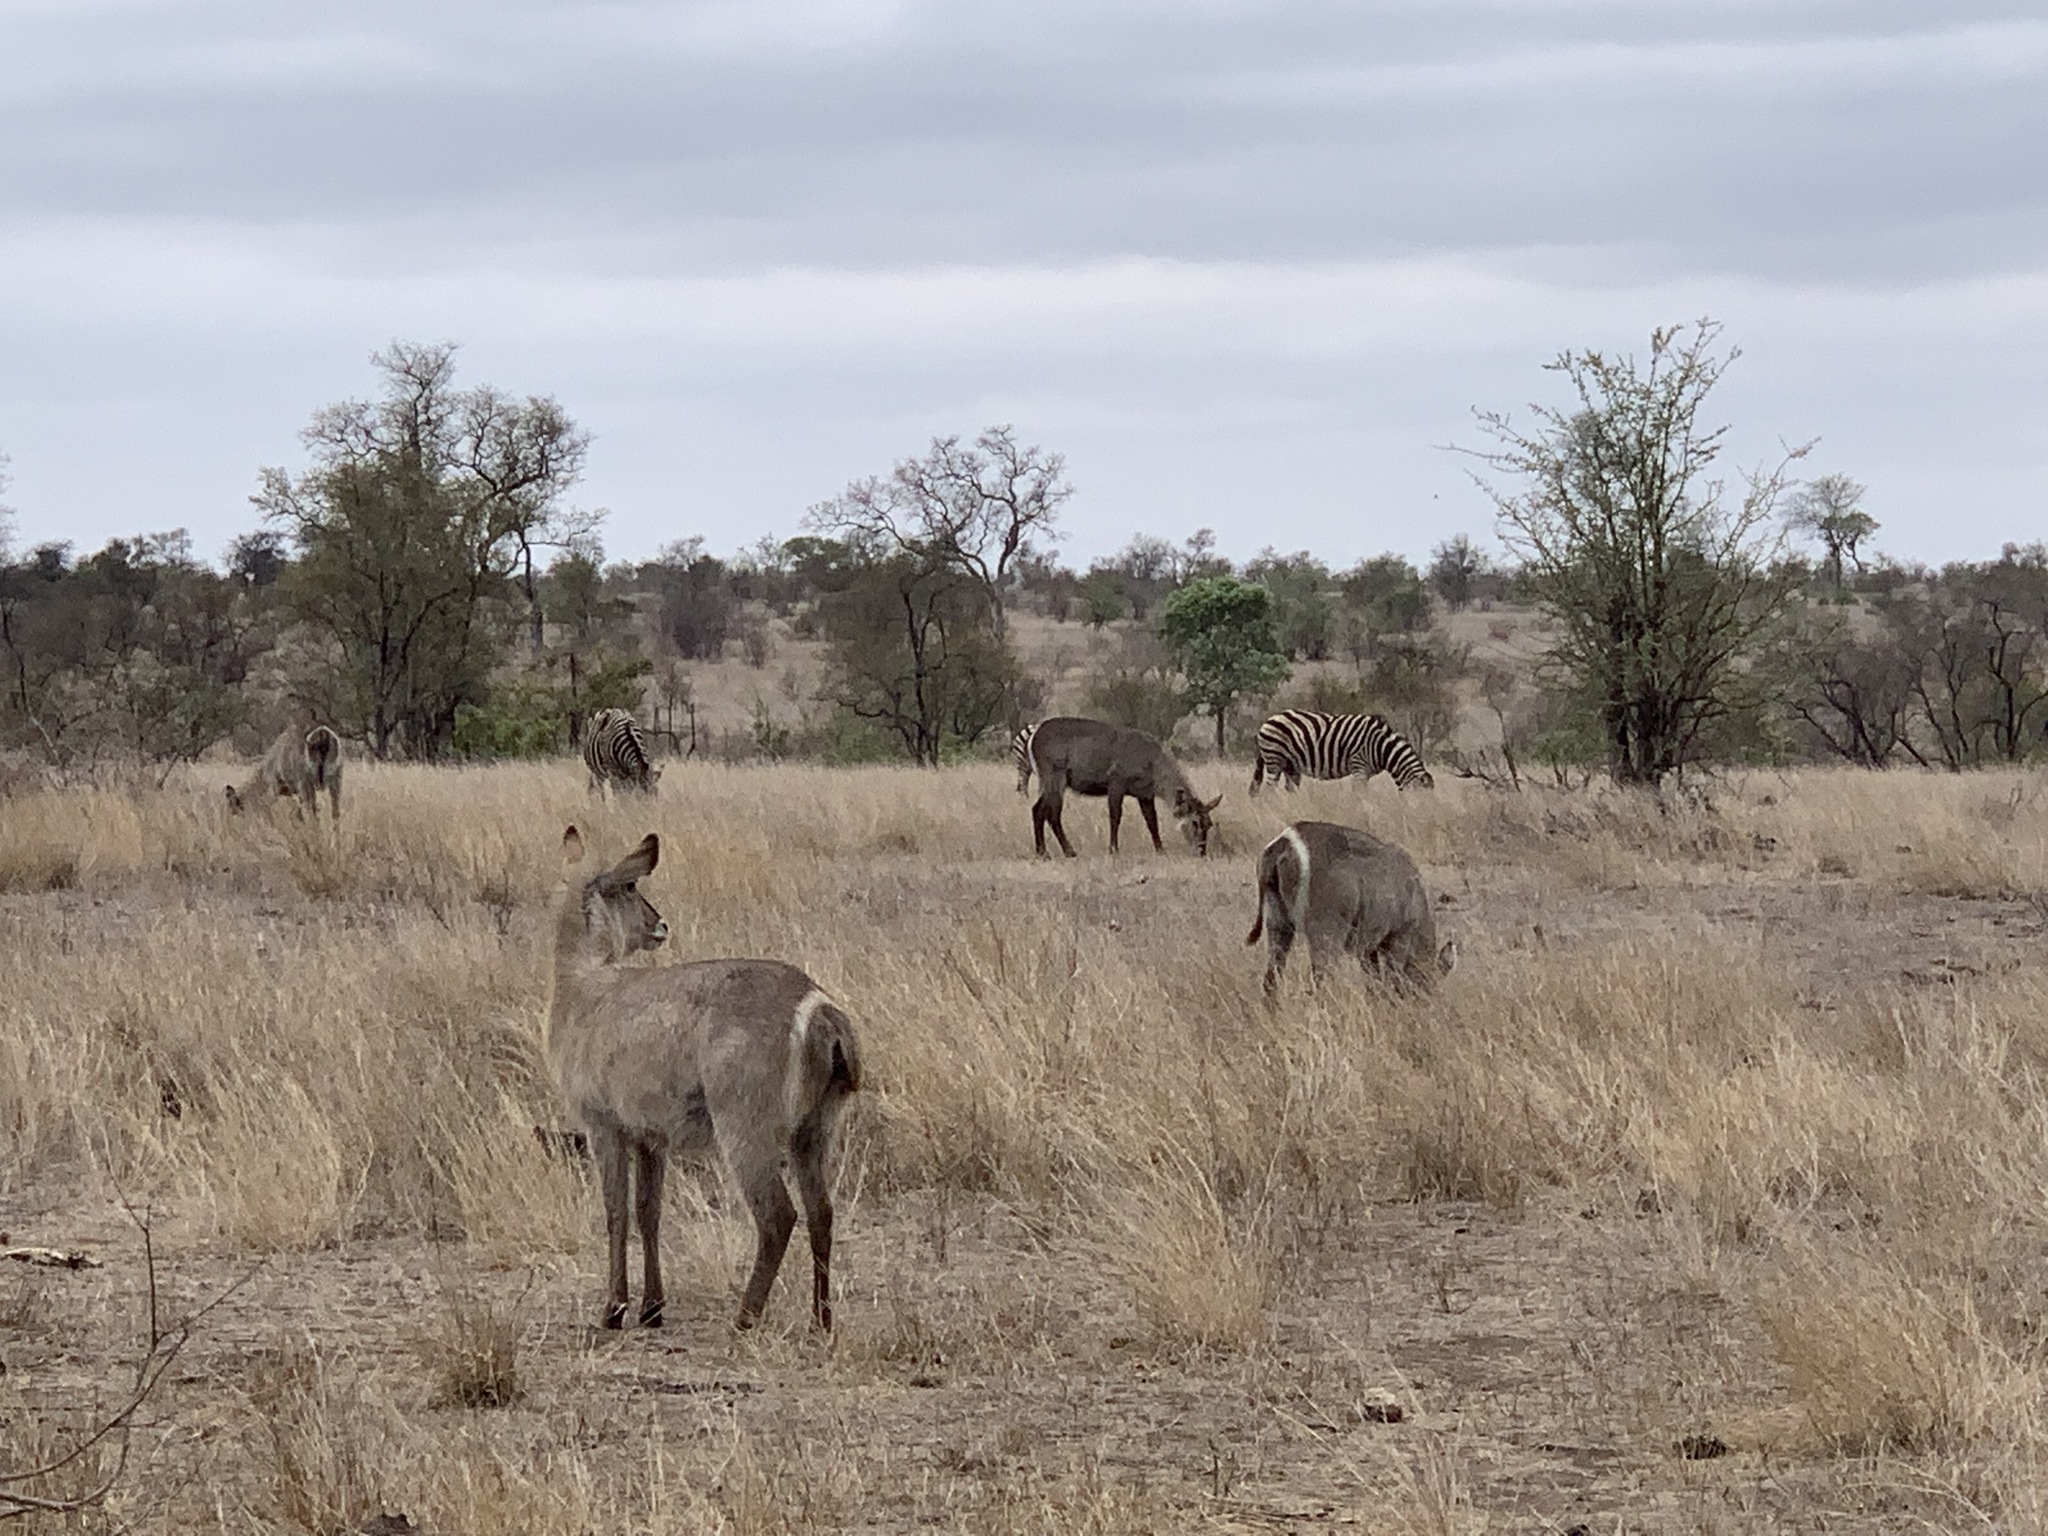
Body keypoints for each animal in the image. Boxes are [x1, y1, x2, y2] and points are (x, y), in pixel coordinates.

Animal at [1236, 712, 1433, 794]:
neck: (1382, 748)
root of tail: (1267, 721)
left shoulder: (1366, 772)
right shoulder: (1359, 766)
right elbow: (1359, 794)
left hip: (1290, 765)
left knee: (1290, 788)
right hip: (1274, 759)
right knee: (1270, 789)